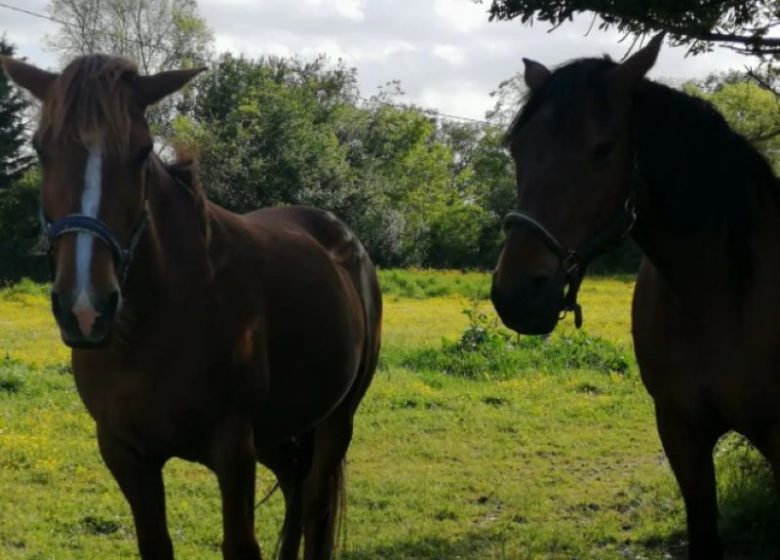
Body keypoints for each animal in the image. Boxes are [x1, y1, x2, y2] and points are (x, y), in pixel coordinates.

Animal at [0, 53, 378, 560]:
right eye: (41, 149)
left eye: (142, 151)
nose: (85, 307)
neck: (151, 330)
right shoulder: (125, 453)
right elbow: (156, 543)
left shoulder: (233, 449)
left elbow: (241, 544)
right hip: (278, 432)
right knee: (294, 486)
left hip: (337, 421)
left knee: (315, 501)